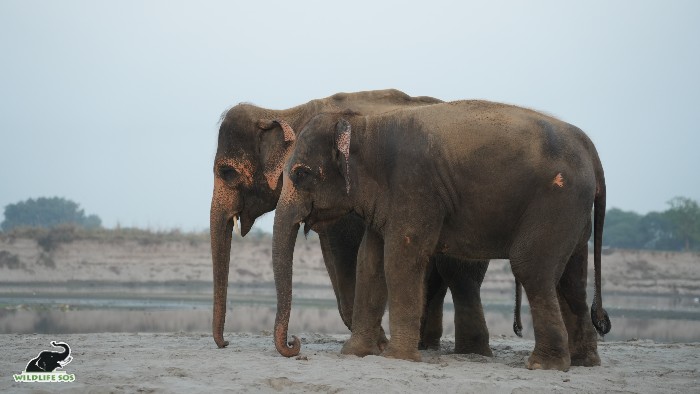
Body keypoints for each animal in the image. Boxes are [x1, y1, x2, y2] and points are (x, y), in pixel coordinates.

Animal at [213, 91, 492, 356]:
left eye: (227, 172)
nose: (225, 343)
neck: (285, 113)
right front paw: (377, 343)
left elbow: (348, 257)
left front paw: (379, 344)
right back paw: (428, 346)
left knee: (459, 274)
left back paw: (470, 351)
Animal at [270, 100, 608, 370]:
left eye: (301, 173)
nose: (294, 344)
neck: (365, 124)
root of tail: (591, 149)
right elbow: (369, 262)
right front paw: (355, 353)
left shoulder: (415, 186)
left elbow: (400, 259)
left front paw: (398, 358)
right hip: (573, 212)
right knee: (572, 279)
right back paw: (584, 362)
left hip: (557, 200)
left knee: (532, 268)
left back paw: (544, 365)